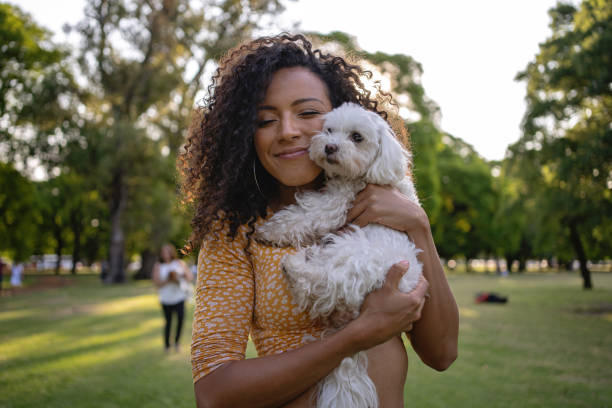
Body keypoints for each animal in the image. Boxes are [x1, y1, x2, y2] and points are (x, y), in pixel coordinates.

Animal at [256, 103, 424, 408]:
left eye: (357, 137)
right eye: (329, 130)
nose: (330, 147)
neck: (367, 175)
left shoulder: (337, 203)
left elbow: (304, 214)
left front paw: (268, 230)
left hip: (353, 252)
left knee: (318, 281)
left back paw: (296, 265)